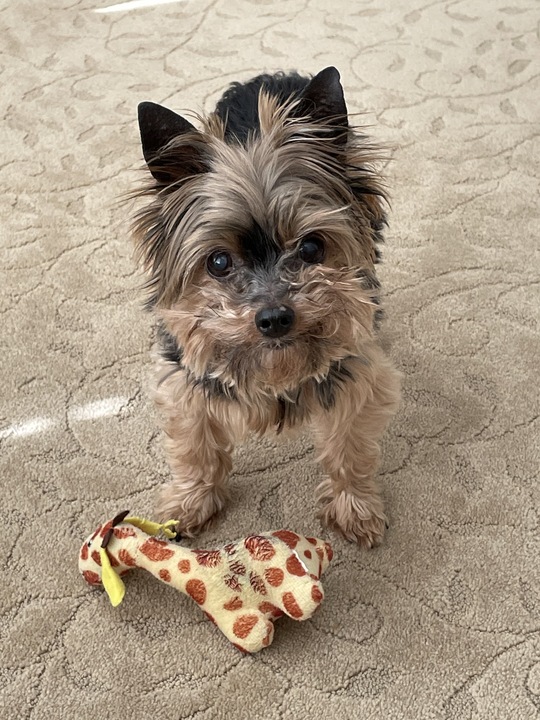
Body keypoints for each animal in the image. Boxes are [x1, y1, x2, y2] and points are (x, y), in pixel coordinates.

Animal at [131, 67, 401, 547]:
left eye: (312, 247)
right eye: (218, 262)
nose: (275, 317)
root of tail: (273, 75)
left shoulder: (357, 372)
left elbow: (349, 447)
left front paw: (354, 507)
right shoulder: (185, 379)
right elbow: (194, 445)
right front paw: (191, 502)